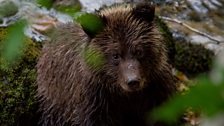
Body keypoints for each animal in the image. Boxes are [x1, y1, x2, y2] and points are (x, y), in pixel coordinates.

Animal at [36, 2, 177, 125]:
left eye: (138, 51)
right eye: (115, 55)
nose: (132, 81)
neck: (125, 95)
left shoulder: (156, 91)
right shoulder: (95, 99)